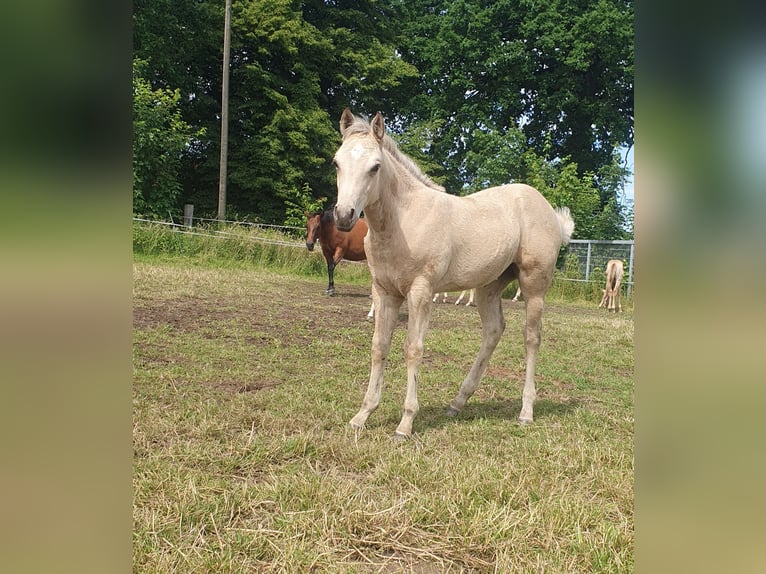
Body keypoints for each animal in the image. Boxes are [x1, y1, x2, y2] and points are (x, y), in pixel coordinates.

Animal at [333, 109, 574, 439]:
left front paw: (405, 423)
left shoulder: (420, 291)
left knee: (531, 337)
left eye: (375, 167)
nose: (344, 216)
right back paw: (458, 402)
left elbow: (413, 349)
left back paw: (526, 411)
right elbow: (379, 347)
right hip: (489, 286)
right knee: (493, 330)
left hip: (534, 284)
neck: (403, 221)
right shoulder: (385, 291)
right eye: (336, 162)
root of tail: (550, 212)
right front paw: (362, 415)